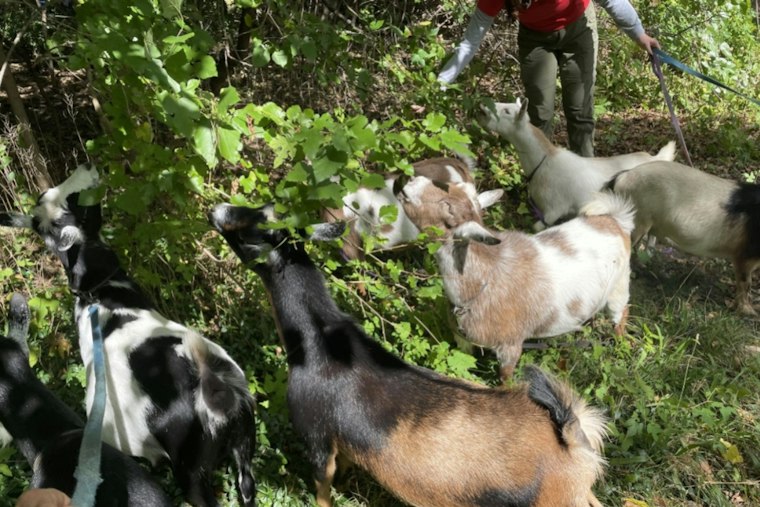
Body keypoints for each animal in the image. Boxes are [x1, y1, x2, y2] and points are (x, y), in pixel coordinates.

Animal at [209, 203, 607, 507]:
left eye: (252, 230)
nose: (216, 210)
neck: (318, 344)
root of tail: (574, 440)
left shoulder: (316, 435)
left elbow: (323, 487)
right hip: (579, 497)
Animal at [397, 176, 635, 380]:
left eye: (447, 206)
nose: (411, 181)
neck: (484, 279)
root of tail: (615, 220)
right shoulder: (462, 339)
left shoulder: (510, 347)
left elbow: (505, 378)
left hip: (620, 285)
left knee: (621, 312)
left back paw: (619, 343)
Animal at [607, 160, 760, 315]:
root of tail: (623, 176)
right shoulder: (745, 255)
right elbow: (745, 283)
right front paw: (750, 312)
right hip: (636, 220)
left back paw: (642, 267)